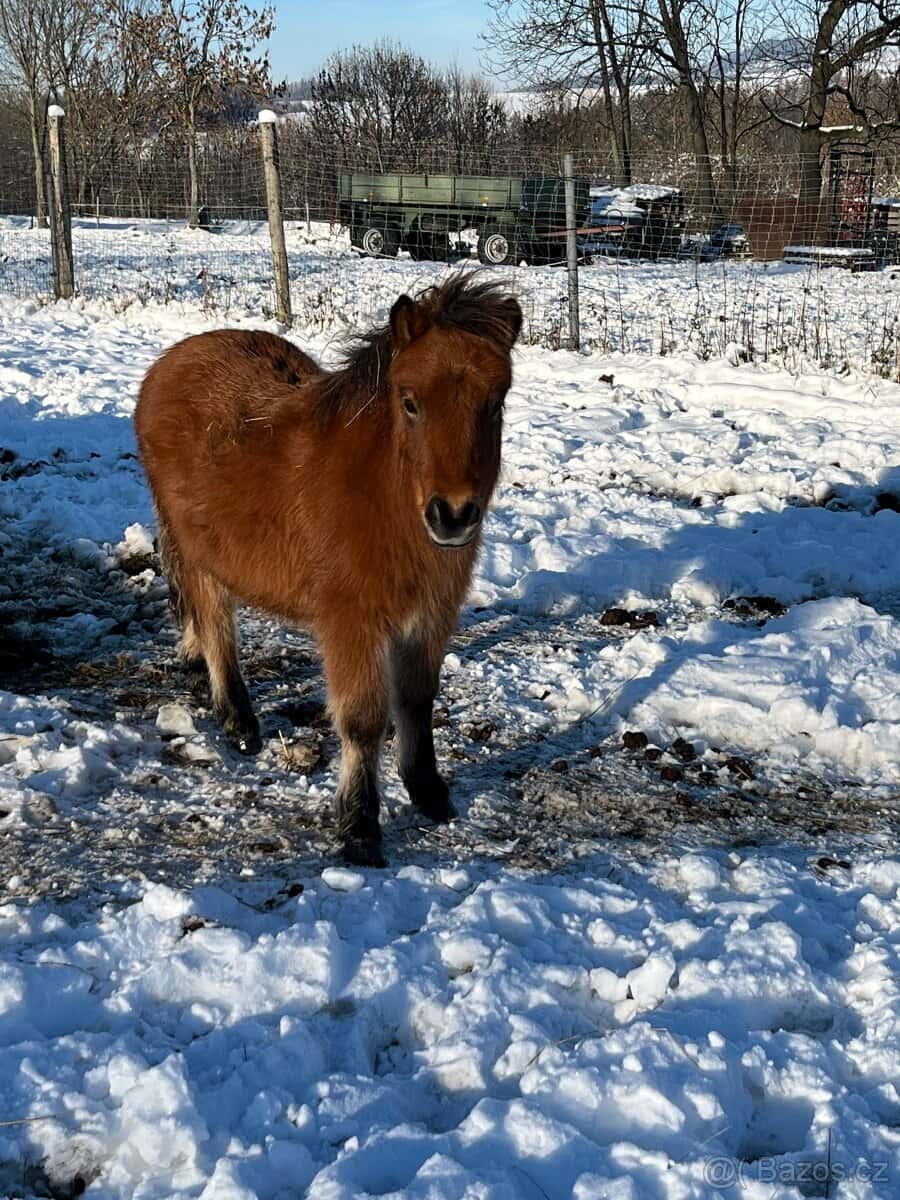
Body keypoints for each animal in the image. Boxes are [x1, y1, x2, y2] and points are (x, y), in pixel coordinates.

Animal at [135, 274, 522, 866]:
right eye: (410, 402)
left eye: (495, 404)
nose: (453, 515)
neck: (384, 495)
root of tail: (169, 363)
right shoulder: (351, 621)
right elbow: (363, 720)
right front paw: (359, 827)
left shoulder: (432, 615)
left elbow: (417, 699)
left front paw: (429, 791)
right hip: (196, 551)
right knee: (216, 625)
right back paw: (239, 722)